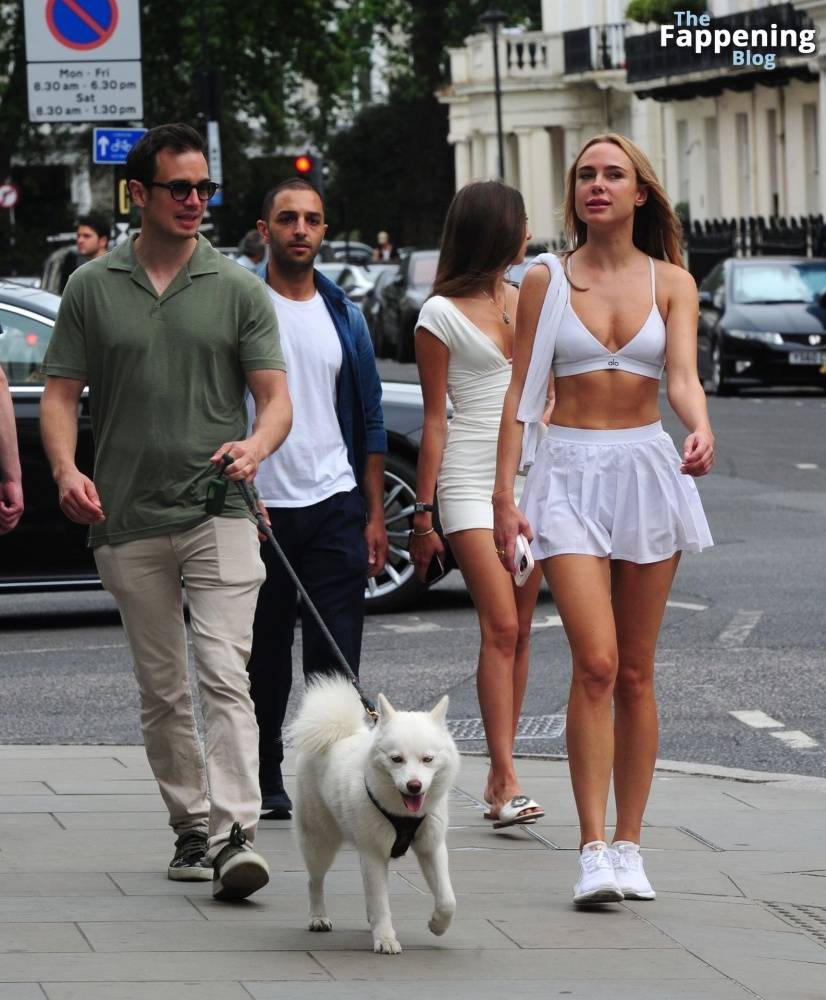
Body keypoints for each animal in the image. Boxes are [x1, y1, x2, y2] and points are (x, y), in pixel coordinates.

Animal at [288, 680, 458, 952]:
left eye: (427, 759)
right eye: (396, 759)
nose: (414, 786)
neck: (404, 814)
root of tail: (337, 733)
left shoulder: (432, 847)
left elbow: (447, 900)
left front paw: (437, 925)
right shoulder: (374, 854)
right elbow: (380, 902)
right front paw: (386, 939)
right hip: (319, 841)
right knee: (315, 880)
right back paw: (318, 917)